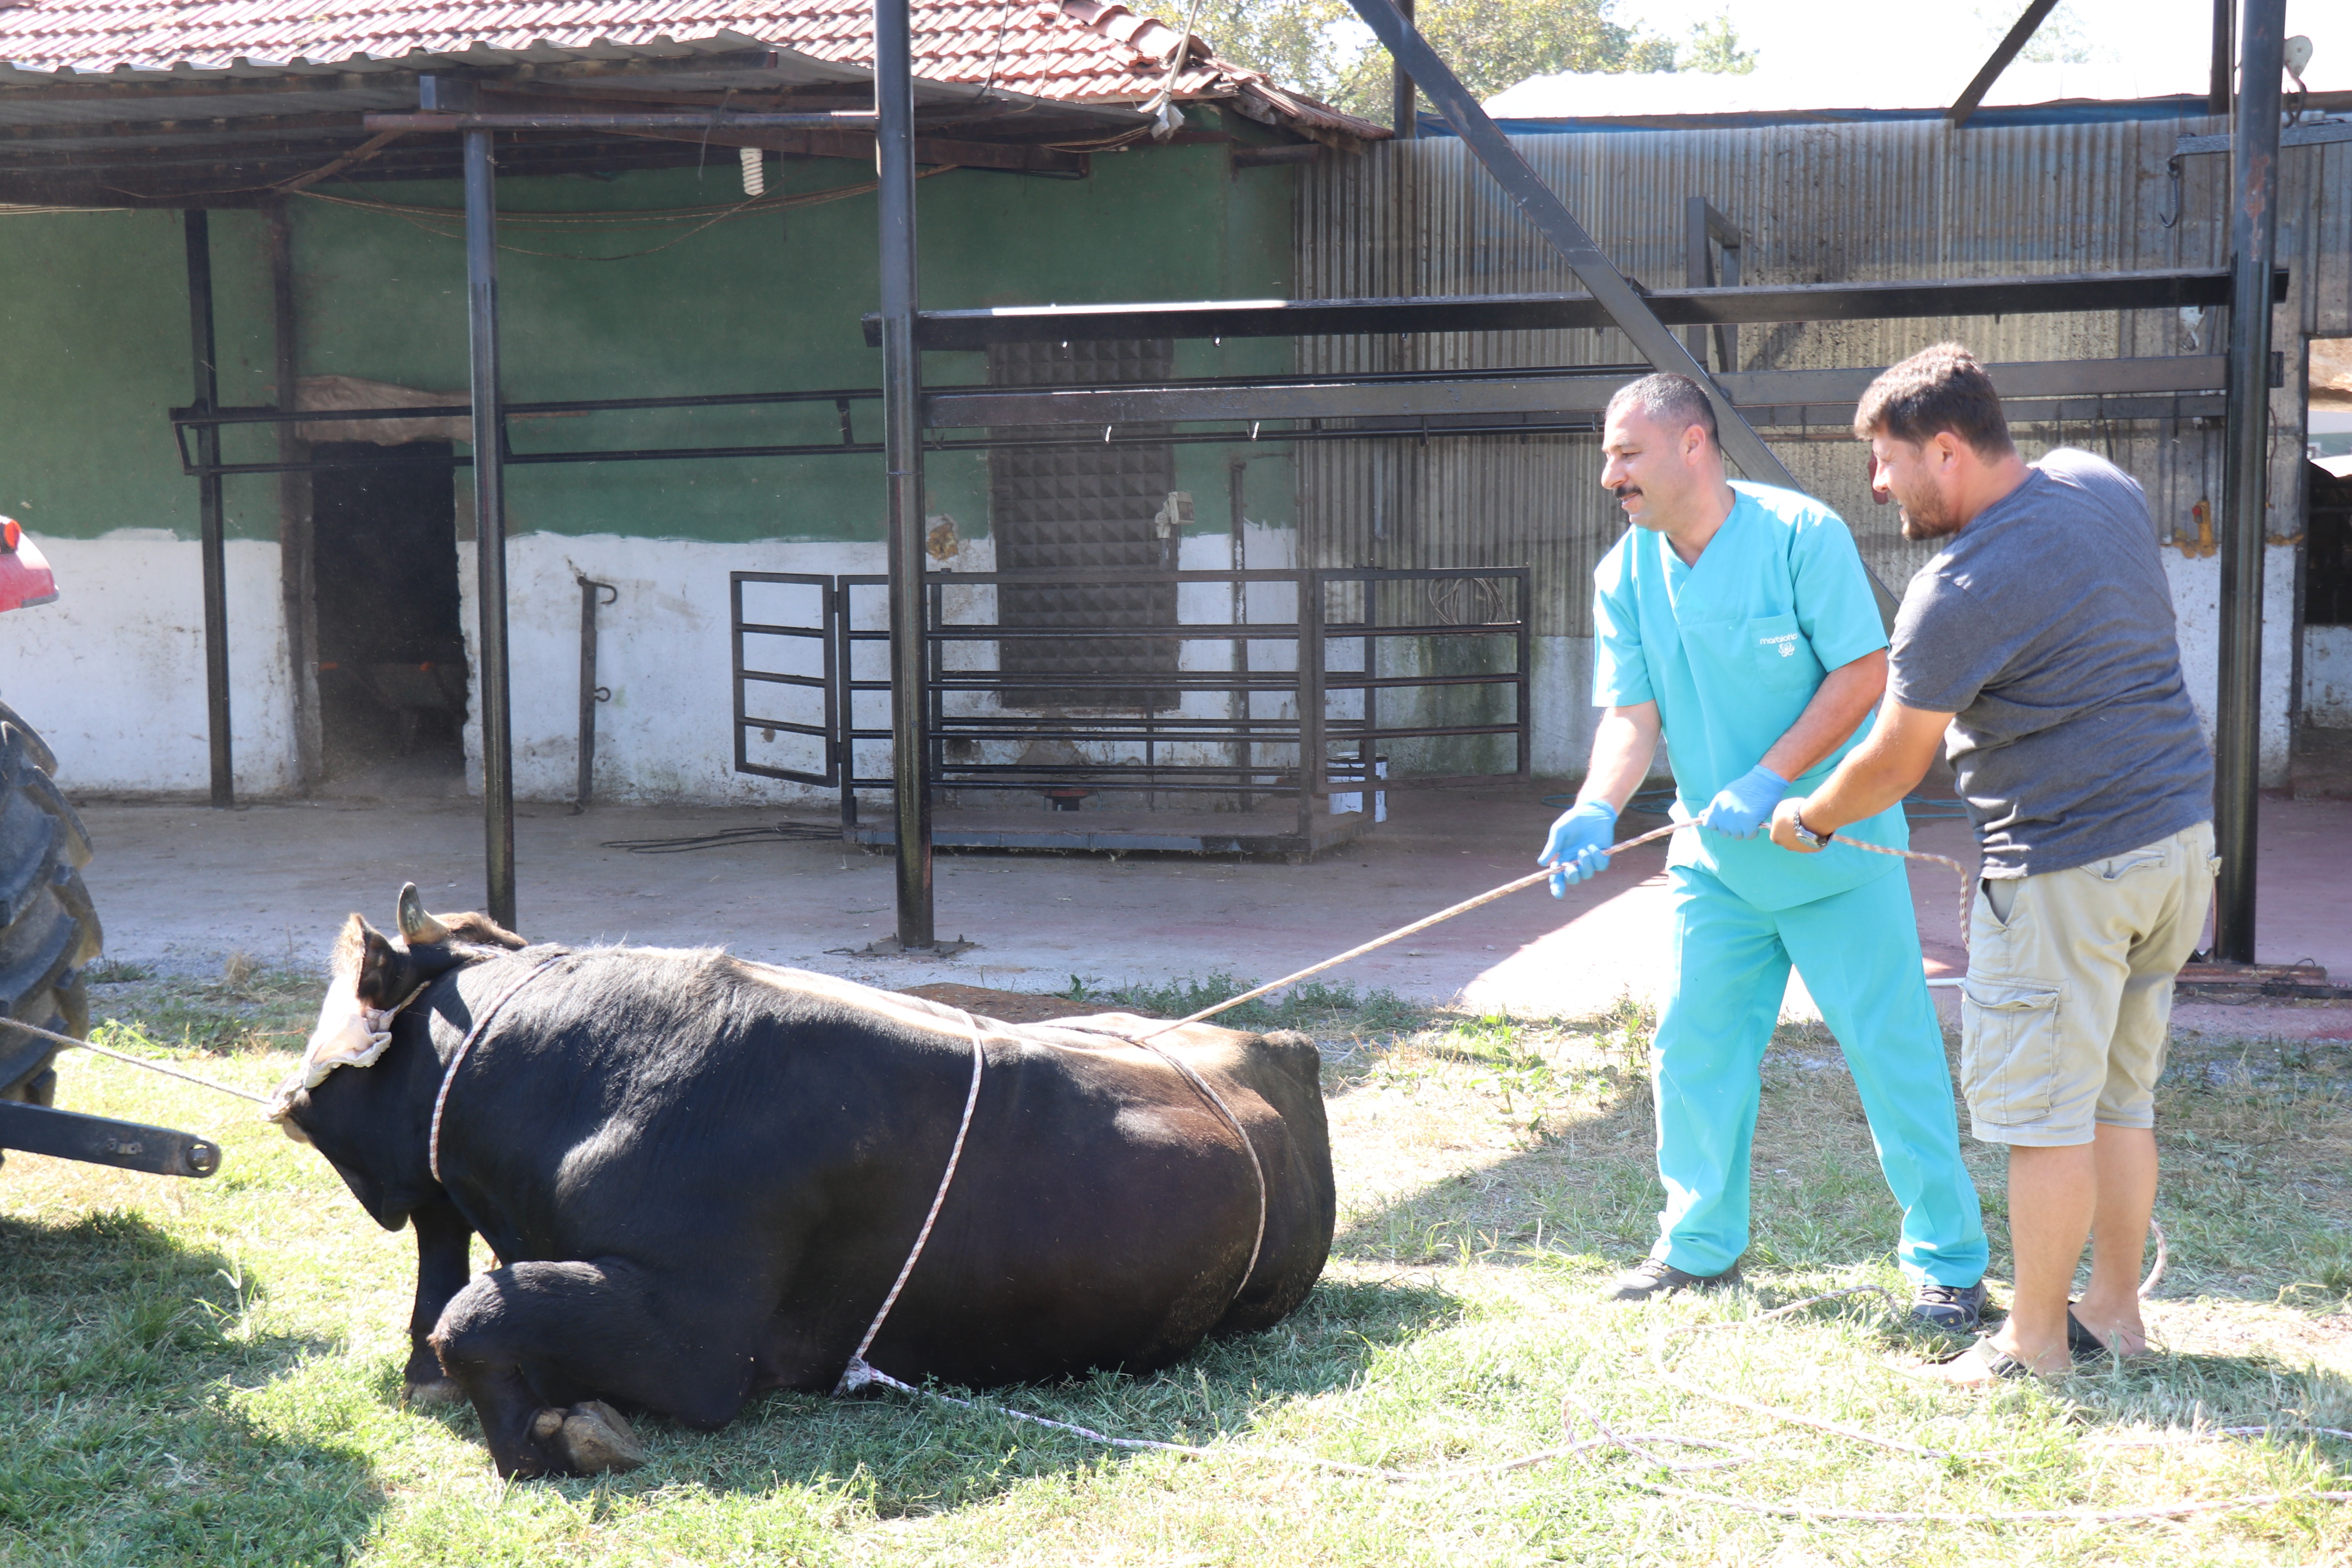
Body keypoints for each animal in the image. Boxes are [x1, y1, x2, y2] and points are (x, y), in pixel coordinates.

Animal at [267, 888, 1336, 1476]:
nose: (285, 1100)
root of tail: (1280, 1041)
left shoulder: (696, 1343)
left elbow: (475, 1310)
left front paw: (555, 1438)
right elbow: (460, 1287)